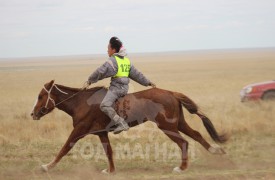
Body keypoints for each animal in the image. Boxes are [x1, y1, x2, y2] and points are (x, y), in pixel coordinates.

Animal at [30, 80, 229, 173]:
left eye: (40, 96)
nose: (33, 114)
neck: (81, 102)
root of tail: (171, 93)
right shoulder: (101, 133)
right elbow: (109, 152)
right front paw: (110, 171)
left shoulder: (79, 131)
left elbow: (64, 148)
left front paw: (46, 167)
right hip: (178, 122)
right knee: (196, 134)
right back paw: (215, 150)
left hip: (167, 126)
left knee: (184, 143)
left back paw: (181, 168)